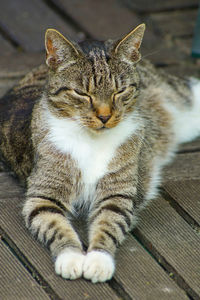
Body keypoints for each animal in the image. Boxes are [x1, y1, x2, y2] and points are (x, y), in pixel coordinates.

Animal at [0, 24, 200, 284]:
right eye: (82, 94)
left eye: (120, 91)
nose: (105, 116)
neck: (91, 139)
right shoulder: (43, 195)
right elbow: (54, 224)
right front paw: (71, 257)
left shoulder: (117, 193)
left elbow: (108, 224)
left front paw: (98, 260)